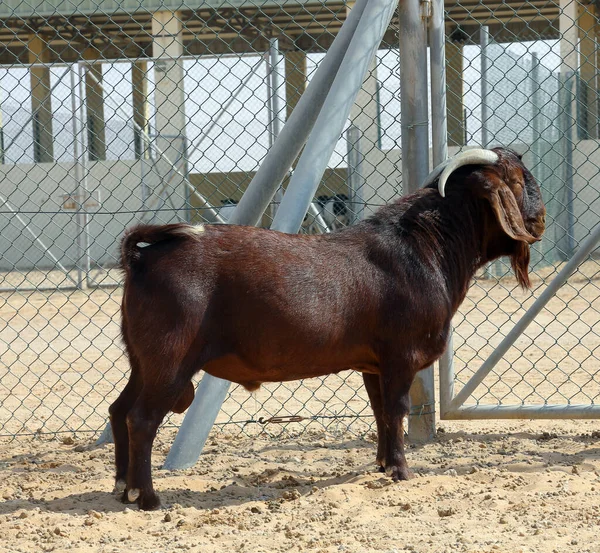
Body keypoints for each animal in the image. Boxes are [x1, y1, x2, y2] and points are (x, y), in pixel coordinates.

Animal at [108, 147, 544, 508]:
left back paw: (122, 487)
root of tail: (140, 258)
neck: (424, 246)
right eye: (518, 179)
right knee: (141, 419)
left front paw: (382, 465)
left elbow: (380, 410)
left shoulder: (373, 364)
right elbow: (397, 408)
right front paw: (402, 471)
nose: (539, 220)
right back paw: (148, 498)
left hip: (142, 360)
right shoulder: (401, 355)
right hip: (171, 359)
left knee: (119, 409)